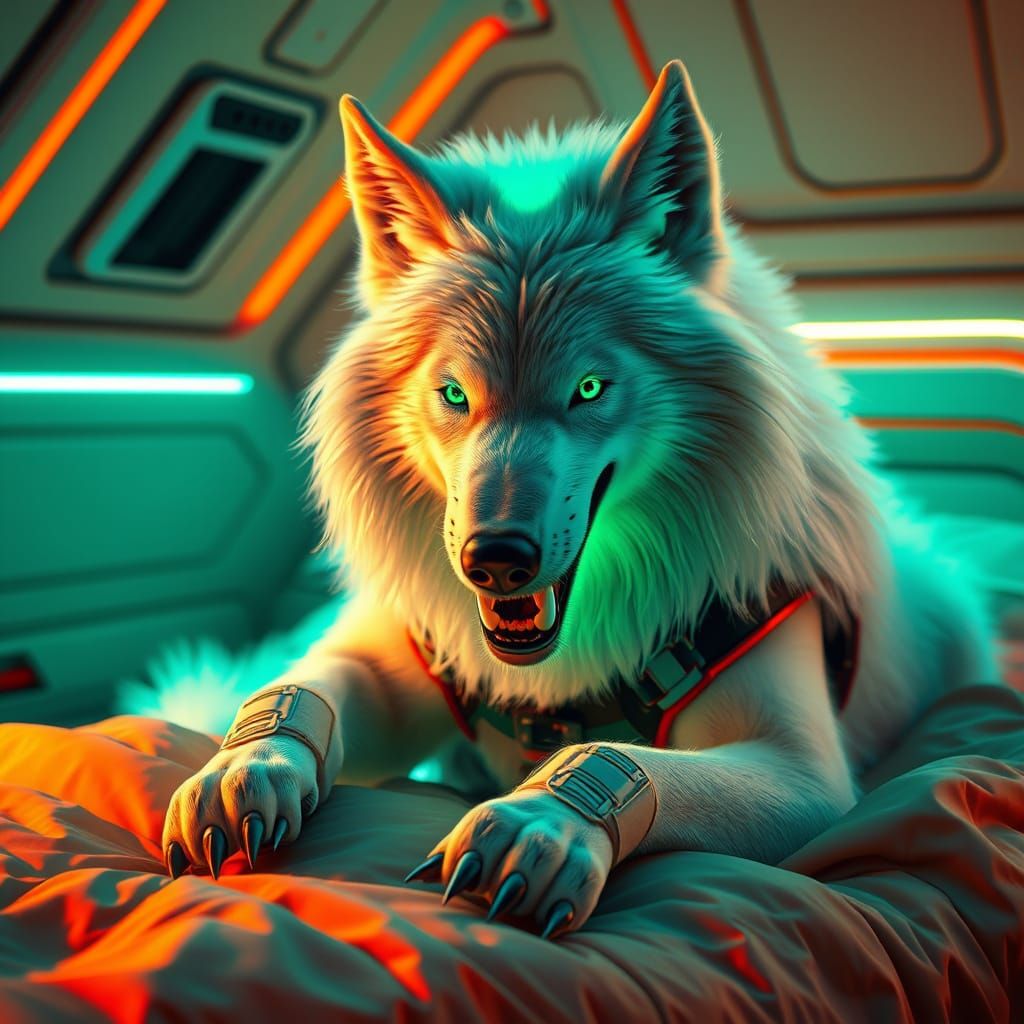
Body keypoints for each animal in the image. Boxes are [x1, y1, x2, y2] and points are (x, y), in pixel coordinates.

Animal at [161, 60, 1001, 940]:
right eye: (454, 394)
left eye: (589, 389)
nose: (494, 562)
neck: (557, 683)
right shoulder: (395, 659)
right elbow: (303, 686)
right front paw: (242, 768)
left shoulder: (805, 772)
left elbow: (629, 761)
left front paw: (539, 824)